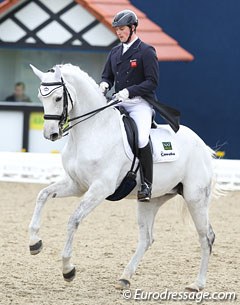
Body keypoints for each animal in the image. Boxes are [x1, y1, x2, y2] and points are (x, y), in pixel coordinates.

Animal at [28, 63, 216, 290]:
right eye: (41, 97)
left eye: (57, 98)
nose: (51, 134)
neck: (92, 130)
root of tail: (202, 145)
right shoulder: (77, 185)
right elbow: (42, 195)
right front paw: (34, 242)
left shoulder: (100, 188)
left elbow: (74, 219)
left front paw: (68, 269)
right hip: (151, 200)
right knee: (147, 238)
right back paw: (125, 277)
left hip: (195, 198)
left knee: (206, 237)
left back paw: (197, 284)